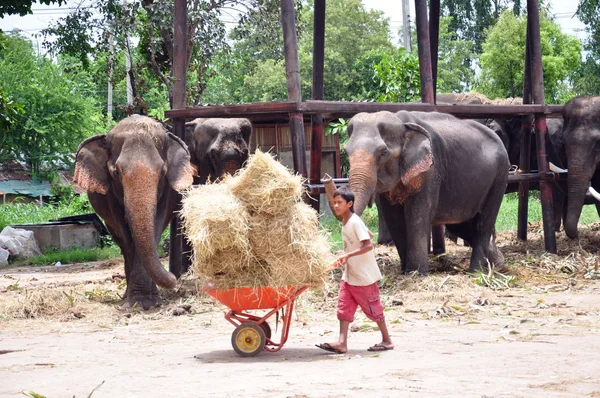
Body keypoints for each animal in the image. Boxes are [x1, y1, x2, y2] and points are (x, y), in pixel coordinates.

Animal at [73, 113, 193, 310]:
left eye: (162, 172)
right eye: (116, 172)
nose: (174, 277)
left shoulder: (167, 192)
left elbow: (156, 227)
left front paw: (151, 302)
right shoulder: (111, 196)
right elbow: (127, 235)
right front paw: (138, 303)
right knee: (122, 244)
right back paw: (124, 296)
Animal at [344, 111, 508, 274]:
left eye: (383, 152)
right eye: (346, 151)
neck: (402, 123)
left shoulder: (431, 171)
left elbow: (416, 216)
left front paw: (416, 273)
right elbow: (394, 218)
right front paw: (405, 271)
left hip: (499, 176)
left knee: (483, 223)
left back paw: (477, 271)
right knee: (460, 225)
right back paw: (497, 262)